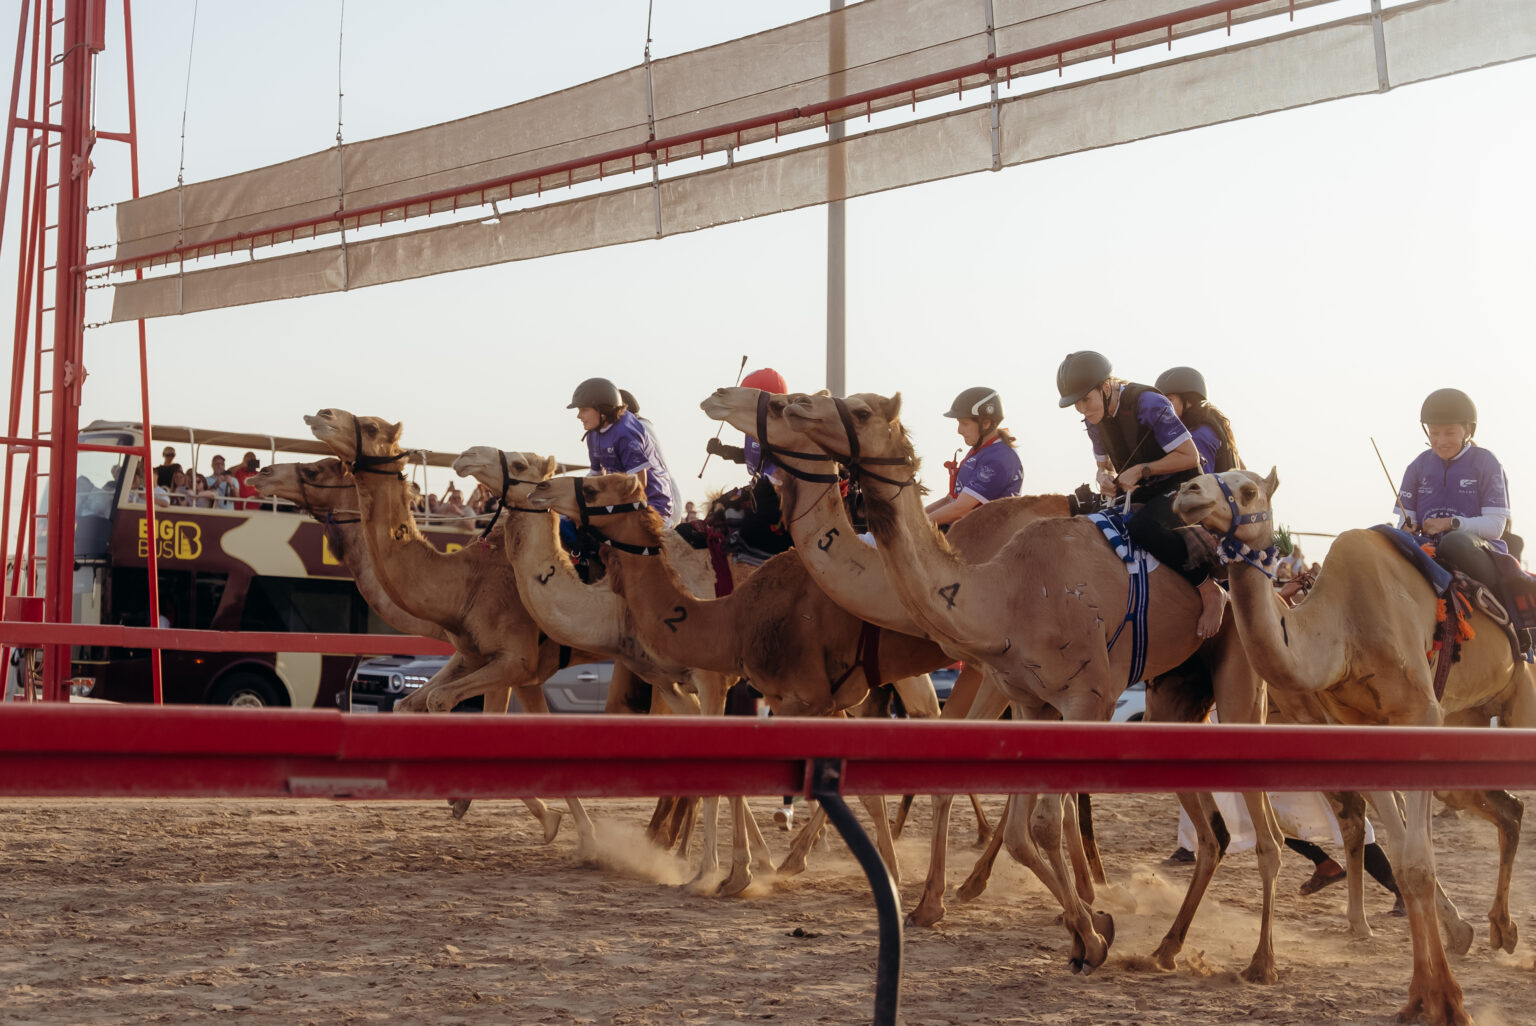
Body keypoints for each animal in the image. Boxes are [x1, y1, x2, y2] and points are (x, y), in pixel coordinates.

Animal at [301, 410, 596, 843]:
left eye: (370, 427)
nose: (321, 415)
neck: (465, 582)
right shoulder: (487, 659)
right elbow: (412, 704)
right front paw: (569, 826)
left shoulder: (515, 660)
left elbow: (465, 713)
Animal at [450, 447, 775, 891]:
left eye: (519, 464)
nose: (465, 457)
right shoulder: (667, 680)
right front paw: (736, 864)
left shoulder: (710, 681)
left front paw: (720, 872)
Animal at [754, 389, 1280, 981]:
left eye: (862, 411)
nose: (793, 404)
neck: (1004, 593)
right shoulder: (1031, 702)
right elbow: (1025, 831)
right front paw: (1088, 929)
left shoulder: (1084, 697)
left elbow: (1046, 819)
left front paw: (1086, 931)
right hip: (1173, 698)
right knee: (1214, 833)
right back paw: (1167, 947)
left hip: (1240, 681)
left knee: (1266, 832)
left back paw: (1261, 961)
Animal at [1172, 469, 1535, 1026]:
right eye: (1204, 480)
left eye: (1249, 488)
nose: (1186, 492)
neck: (1343, 631)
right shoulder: (1361, 725)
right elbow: (1405, 862)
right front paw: (1420, 996)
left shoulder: (1420, 716)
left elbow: (1418, 862)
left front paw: (1450, 1002)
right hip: (1468, 718)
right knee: (1506, 806)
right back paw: (1501, 929)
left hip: (1519, 702)